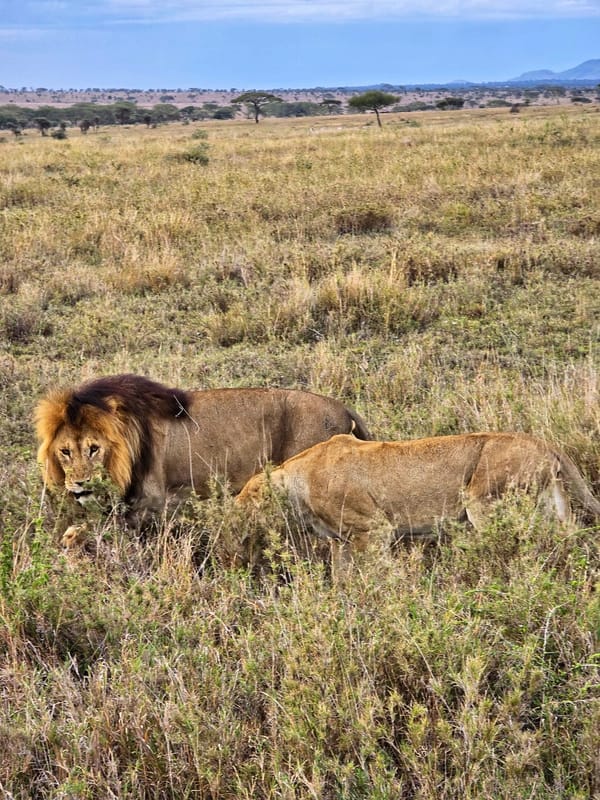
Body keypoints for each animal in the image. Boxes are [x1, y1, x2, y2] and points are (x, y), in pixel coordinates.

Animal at [34, 374, 371, 546]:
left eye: (94, 449)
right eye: (65, 452)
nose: (80, 484)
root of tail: (343, 408)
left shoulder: (153, 501)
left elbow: (89, 528)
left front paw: (68, 542)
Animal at [237, 432, 600, 577]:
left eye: (248, 499)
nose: (234, 516)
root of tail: (543, 443)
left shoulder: (375, 528)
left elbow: (376, 571)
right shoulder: (340, 541)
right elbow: (341, 577)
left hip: (483, 502)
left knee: (519, 547)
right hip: (552, 501)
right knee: (569, 538)